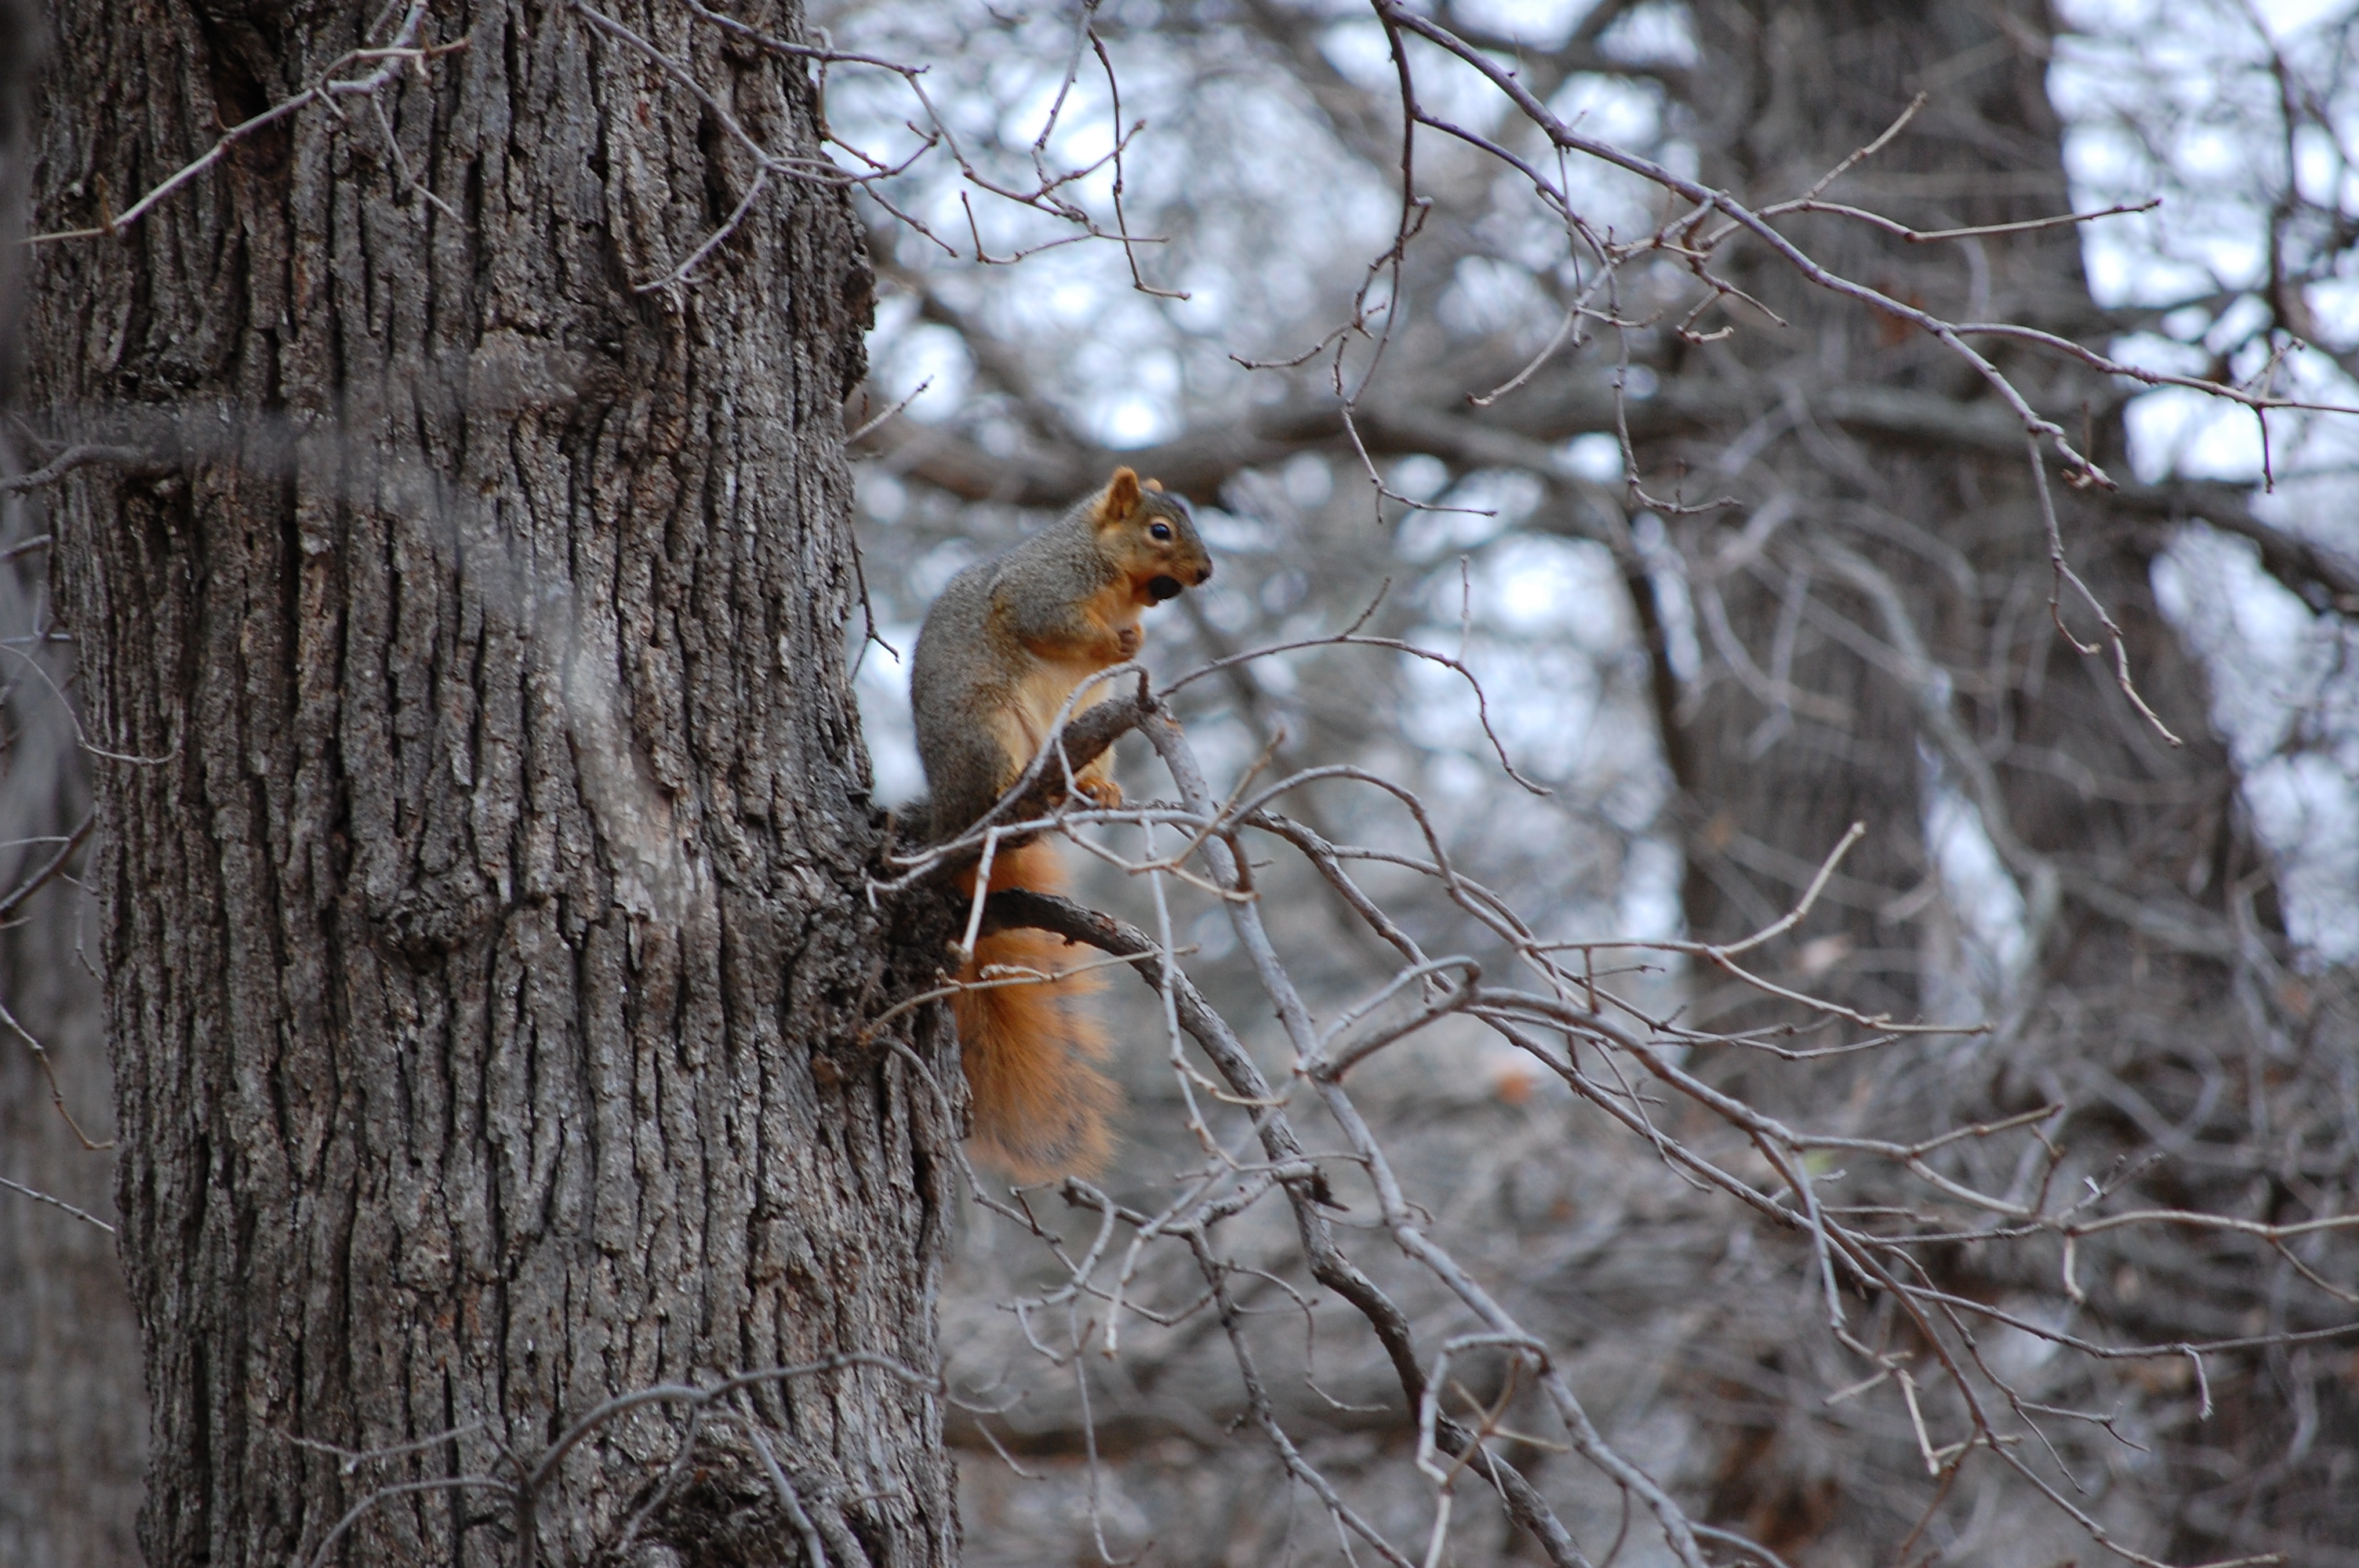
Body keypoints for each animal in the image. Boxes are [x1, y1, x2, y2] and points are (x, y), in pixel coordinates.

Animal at [911, 464, 1217, 1174]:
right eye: (1160, 530)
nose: (1206, 572)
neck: (1118, 581)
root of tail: (948, 818)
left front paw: (1136, 638)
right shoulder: (1044, 588)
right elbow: (1048, 622)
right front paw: (1117, 638)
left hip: (1085, 723)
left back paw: (1095, 787)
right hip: (986, 726)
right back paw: (1009, 794)